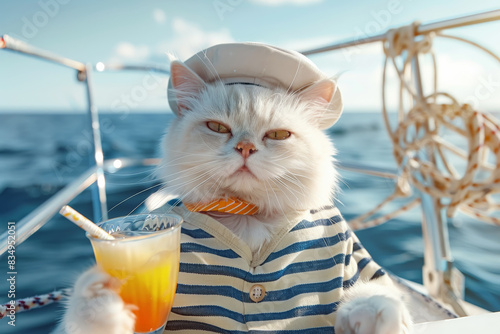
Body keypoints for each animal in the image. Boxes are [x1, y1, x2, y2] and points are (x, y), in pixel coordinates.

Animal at [54, 43, 412, 334]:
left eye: (278, 135)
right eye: (217, 128)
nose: (245, 148)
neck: (247, 215)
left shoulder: (357, 263)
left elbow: (376, 293)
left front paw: (372, 317)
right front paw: (105, 307)